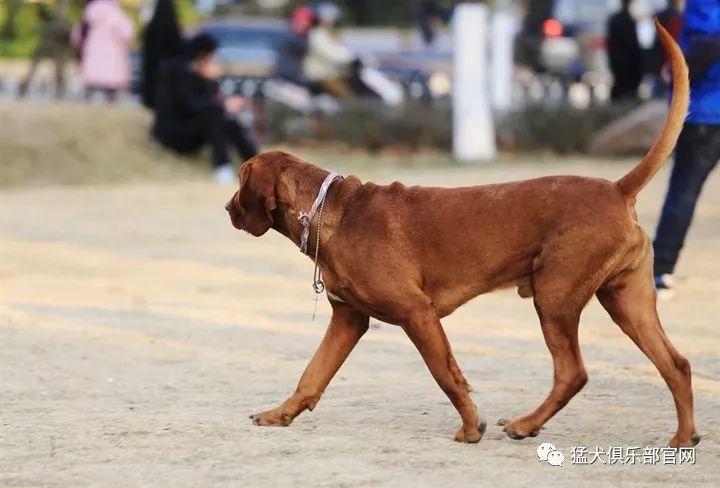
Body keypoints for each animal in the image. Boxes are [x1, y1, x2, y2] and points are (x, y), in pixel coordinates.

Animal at [225, 24, 696, 448]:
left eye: (241, 179)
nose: (228, 209)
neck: (329, 208)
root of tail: (617, 188)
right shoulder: (348, 319)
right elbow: (311, 375)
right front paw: (279, 414)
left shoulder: (418, 314)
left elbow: (447, 376)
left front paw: (472, 428)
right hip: (626, 301)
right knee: (676, 364)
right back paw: (682, 437)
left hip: (556, 298)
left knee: (573, 373)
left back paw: (525, 425)